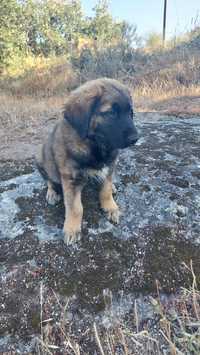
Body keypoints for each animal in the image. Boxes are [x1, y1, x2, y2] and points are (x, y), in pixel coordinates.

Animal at [36, 77, 138, 245]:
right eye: (111, 112)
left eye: (131, 113)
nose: (135, 139)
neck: (95, 144)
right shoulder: (71, 179)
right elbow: (76, 208)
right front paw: (72, 229)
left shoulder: (110, 166)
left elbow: (105, 190)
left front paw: (110, 207)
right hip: (42, 159)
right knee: (49, 180)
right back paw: (51, 193)